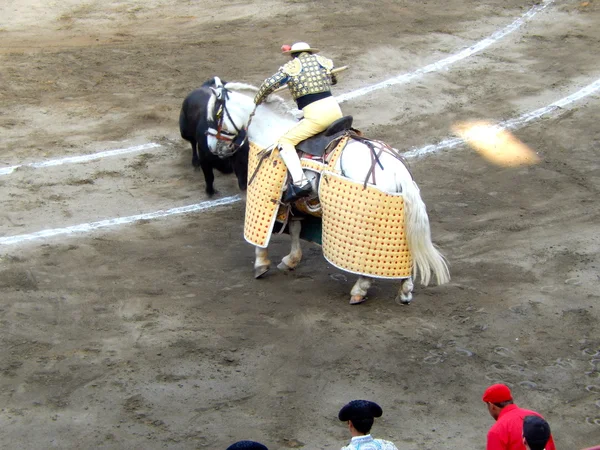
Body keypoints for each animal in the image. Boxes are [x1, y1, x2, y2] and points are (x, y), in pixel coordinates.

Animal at [207, 81, 450, 306]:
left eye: (212, 116)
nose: (213, 149)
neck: (272, 130)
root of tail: (399, 171)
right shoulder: (296, 203)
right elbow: (295, 229)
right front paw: (291, 260)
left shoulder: (268, 198)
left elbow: (262, 239)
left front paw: (261, 264)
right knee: (403, 257)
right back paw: (405, 291)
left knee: (366, 266)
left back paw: (359, 291)